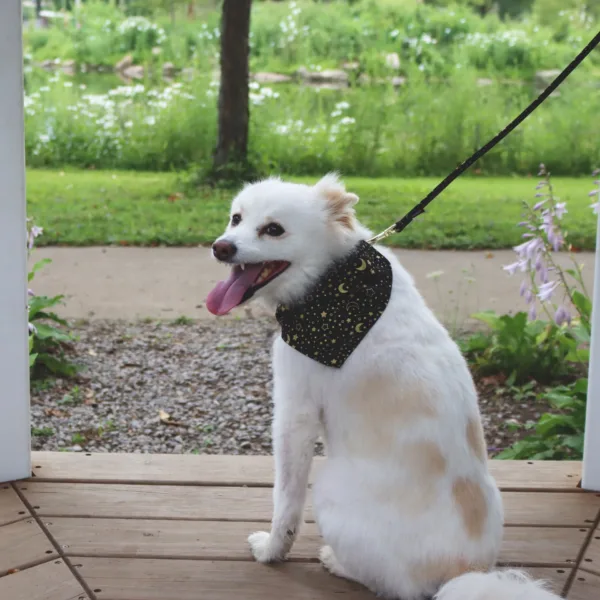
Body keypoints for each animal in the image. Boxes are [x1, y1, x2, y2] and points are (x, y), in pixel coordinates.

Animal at [206, 175, 564, 600]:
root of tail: (464, 571)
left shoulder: (294, 414)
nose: (221, 247)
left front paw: (271, 551)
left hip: (327, 488)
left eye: (273, 229)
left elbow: (285, 502)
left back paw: (335, 562)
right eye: (236, 218)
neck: (334, 282)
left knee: (392, 586)